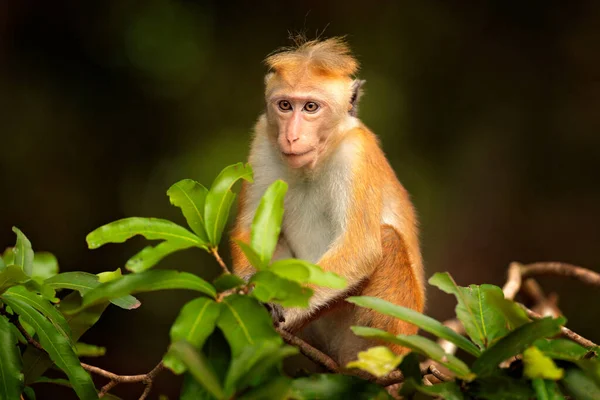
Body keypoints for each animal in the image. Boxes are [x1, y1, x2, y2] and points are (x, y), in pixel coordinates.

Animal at [231, 37, 426, 366]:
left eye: (311, 107)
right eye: (285, 105)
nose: (291, 136)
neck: (315, 162)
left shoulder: (356, 153)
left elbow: (360, 248)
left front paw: (277, 307)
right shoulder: (262, 140)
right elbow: (247, 230)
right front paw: (247, 291)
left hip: (389, 333)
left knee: (387, 240)